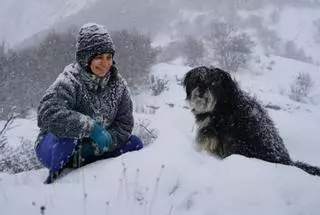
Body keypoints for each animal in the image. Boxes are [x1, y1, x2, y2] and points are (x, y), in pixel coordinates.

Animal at [182, 66, 320, 176]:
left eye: (213, 83)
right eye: (197, 80)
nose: (201, 90)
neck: (223, 103)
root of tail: (288, 162)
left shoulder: (211, 130)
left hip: (237, 143)